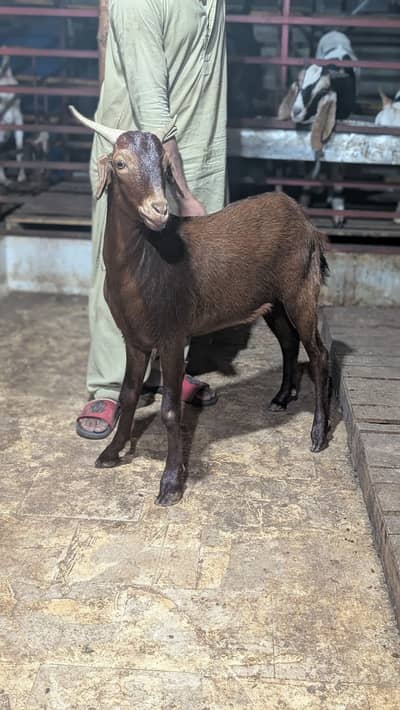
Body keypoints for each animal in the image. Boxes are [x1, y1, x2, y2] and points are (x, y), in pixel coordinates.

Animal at [70, 105, 330, 507]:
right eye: (120, 163)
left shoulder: (173, 335)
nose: (159, 210)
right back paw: (280, 398)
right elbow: (128, 393)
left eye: (165, 166)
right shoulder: (134, 337)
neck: (146, 262)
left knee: (318, 353)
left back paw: (318, 434)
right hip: (273, 301)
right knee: (289, 343)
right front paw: (112, 453)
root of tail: (307, 223)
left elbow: (170, 410)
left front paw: (170, 485)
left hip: (301, 289)